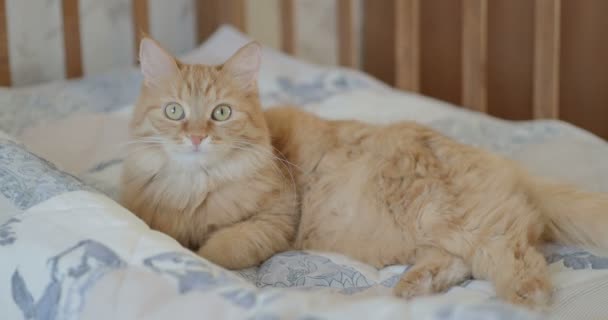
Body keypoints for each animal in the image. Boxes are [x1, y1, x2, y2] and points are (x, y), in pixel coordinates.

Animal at [120, 38, 296, 270]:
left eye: (222, 112)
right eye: (174, 111)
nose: (196, 137)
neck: (193, 187)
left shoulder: (277, 216)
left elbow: (220, 250)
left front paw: (200, 259)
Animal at [264, 105, 608, 308]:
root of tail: (507, 167)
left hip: (439, 213)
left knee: (513, 252)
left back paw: (528, 295)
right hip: (417, 233)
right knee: (459, 261)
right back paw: (416, 286)